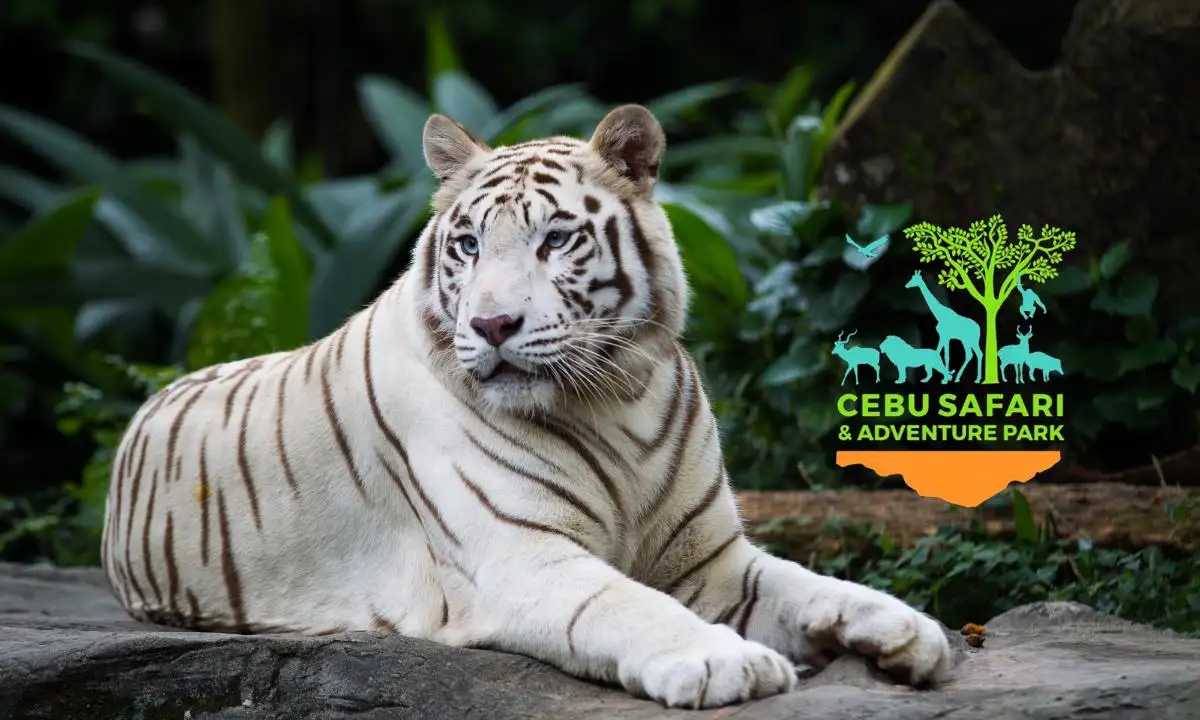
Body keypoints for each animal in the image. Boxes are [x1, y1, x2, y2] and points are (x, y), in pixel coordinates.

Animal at [100, 104, 954, 709]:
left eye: (556, 241)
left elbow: (807, 582)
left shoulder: (710, 559)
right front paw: (726, 661)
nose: (492, 325)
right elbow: (629, 606)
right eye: (469, 245)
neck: (615, 397)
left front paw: (907, 628)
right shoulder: (522, 556)